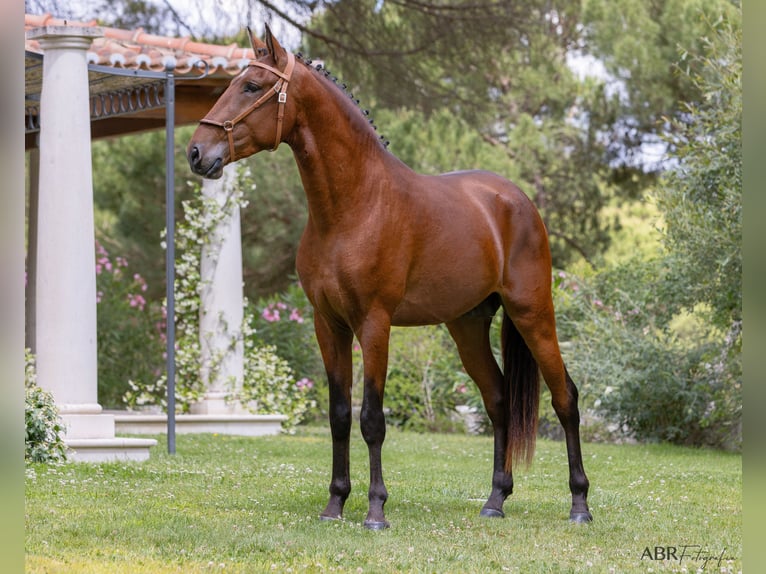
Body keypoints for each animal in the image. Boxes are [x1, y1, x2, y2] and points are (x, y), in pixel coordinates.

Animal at [188, 25, 592, 532]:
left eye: (252, 86)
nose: (196, 153)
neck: (354, 207)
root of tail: (517, 201)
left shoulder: (374, 324)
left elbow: (372, 419)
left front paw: (376, 510)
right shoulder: (329, 325)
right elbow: (340, 414)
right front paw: (335, 504)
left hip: (533, 313)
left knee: (565, 398)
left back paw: (579, 504)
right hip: (468, 326)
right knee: (498, 399)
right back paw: (495, 500)